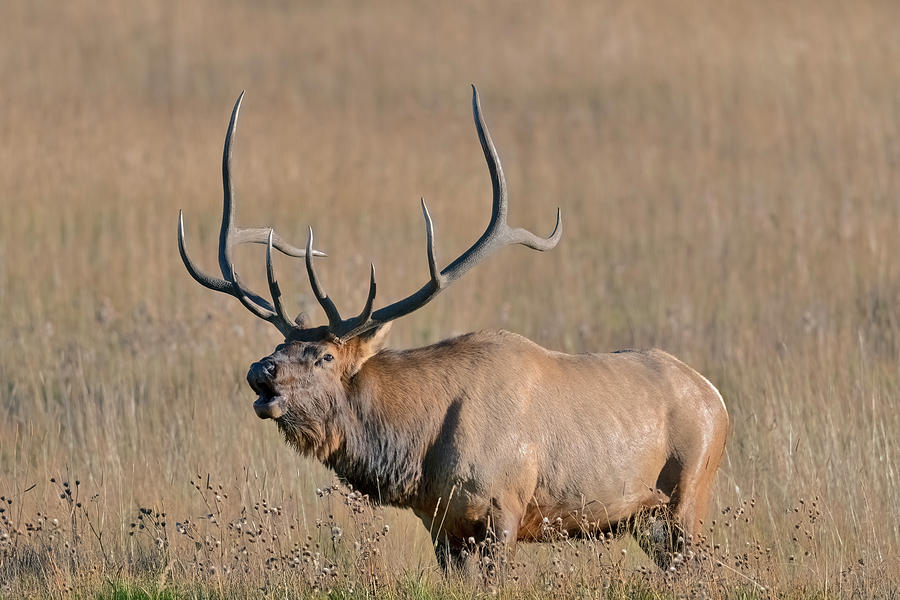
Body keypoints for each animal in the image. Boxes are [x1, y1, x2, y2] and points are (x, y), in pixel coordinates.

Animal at [178, 85, 732, 572]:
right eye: (280, 343)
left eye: (326, 356)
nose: (260, 372)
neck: (419, 447)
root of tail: (718, 399)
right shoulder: (442, 524)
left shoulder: (503, 508)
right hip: (644, 519)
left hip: (688, 497)